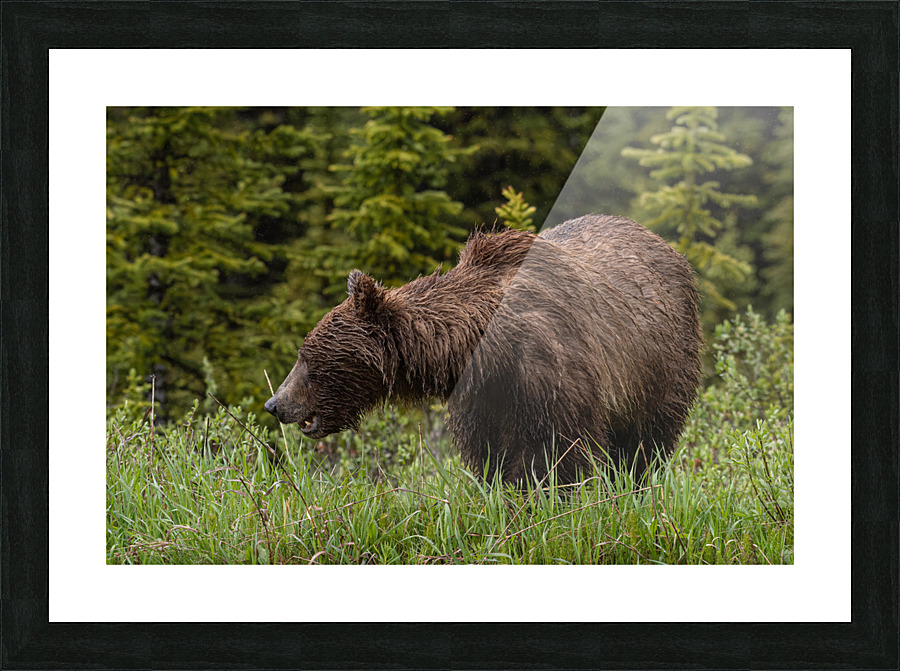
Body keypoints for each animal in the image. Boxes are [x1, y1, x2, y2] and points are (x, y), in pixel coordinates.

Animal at [265, 214, 703, 485]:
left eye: (308, 358)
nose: (274, 403)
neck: (481, 351)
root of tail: (668, 247)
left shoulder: (551, 372)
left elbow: (555, 452)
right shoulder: (481, 399)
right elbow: (489, 454)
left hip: (658, 366)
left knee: (646, 441)